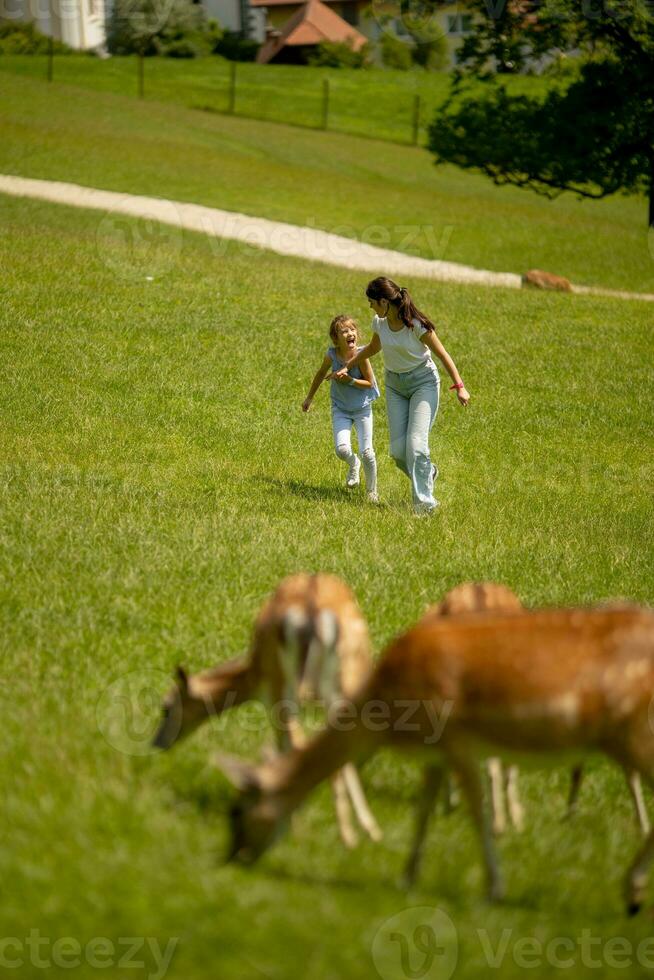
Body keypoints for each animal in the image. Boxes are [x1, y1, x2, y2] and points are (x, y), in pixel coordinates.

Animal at [152, 572, 382, 848]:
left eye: (166, 706)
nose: (157, 743)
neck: (251, 677)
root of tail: (312, 613)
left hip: (282, 689)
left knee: (298, 744)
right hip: (343, 681)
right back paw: (359, 832)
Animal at [218, 600, 654, 916]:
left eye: (236, 811)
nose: (232, 858)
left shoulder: (456, 738)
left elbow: (476, 811)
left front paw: (493, 889)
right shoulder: (437, 754)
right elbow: (423, 810)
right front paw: (407, 876)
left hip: (631, 731)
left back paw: (631, 889)